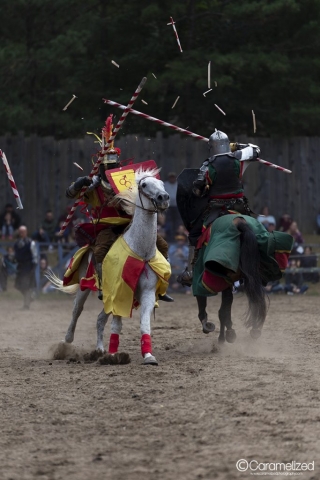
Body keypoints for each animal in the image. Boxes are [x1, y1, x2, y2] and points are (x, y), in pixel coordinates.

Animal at [47, 167, 170, 366]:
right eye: (144, 184)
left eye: (161, 183)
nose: (163, 198)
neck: (140, 250)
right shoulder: (119, 292)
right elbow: (116, 325)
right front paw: (113, 356)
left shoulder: (147, 293)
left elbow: (144, 324)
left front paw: (148, 356)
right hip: (85, 286)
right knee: (76, 310)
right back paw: (65, 343)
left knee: (99, 319)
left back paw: (99, 350)